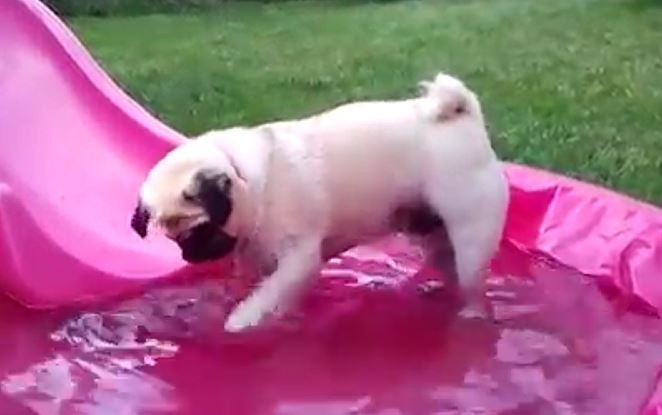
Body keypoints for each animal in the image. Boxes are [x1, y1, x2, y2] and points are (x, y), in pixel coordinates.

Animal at [132, 70, 510, 332]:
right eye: (174, 237)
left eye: (199, 230)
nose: (189, 253)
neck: (249, 179)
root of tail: (464, 114)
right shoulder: (261, 262)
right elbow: (269, 291)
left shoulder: (299, 258)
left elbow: (267, 293)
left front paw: (241, 320)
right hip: (433, 235)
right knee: (450, 267)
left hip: (471, 237)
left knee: (473, 284)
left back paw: (472, 315)